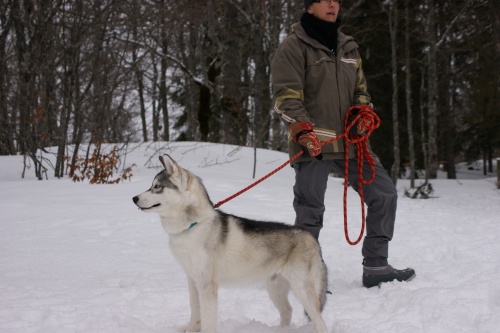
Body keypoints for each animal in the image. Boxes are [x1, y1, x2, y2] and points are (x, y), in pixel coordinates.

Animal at [133, 155, 328, 332]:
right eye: (152, 185)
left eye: (157, 187)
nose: (134, 198)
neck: (193, 225)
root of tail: (311, 237)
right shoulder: (193, 281)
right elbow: (195, 311)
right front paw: (190, 328)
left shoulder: (207, 286)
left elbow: (208, 321)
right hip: (275, 288)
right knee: (287, 311)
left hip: (302, 290)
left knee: (319, 321)